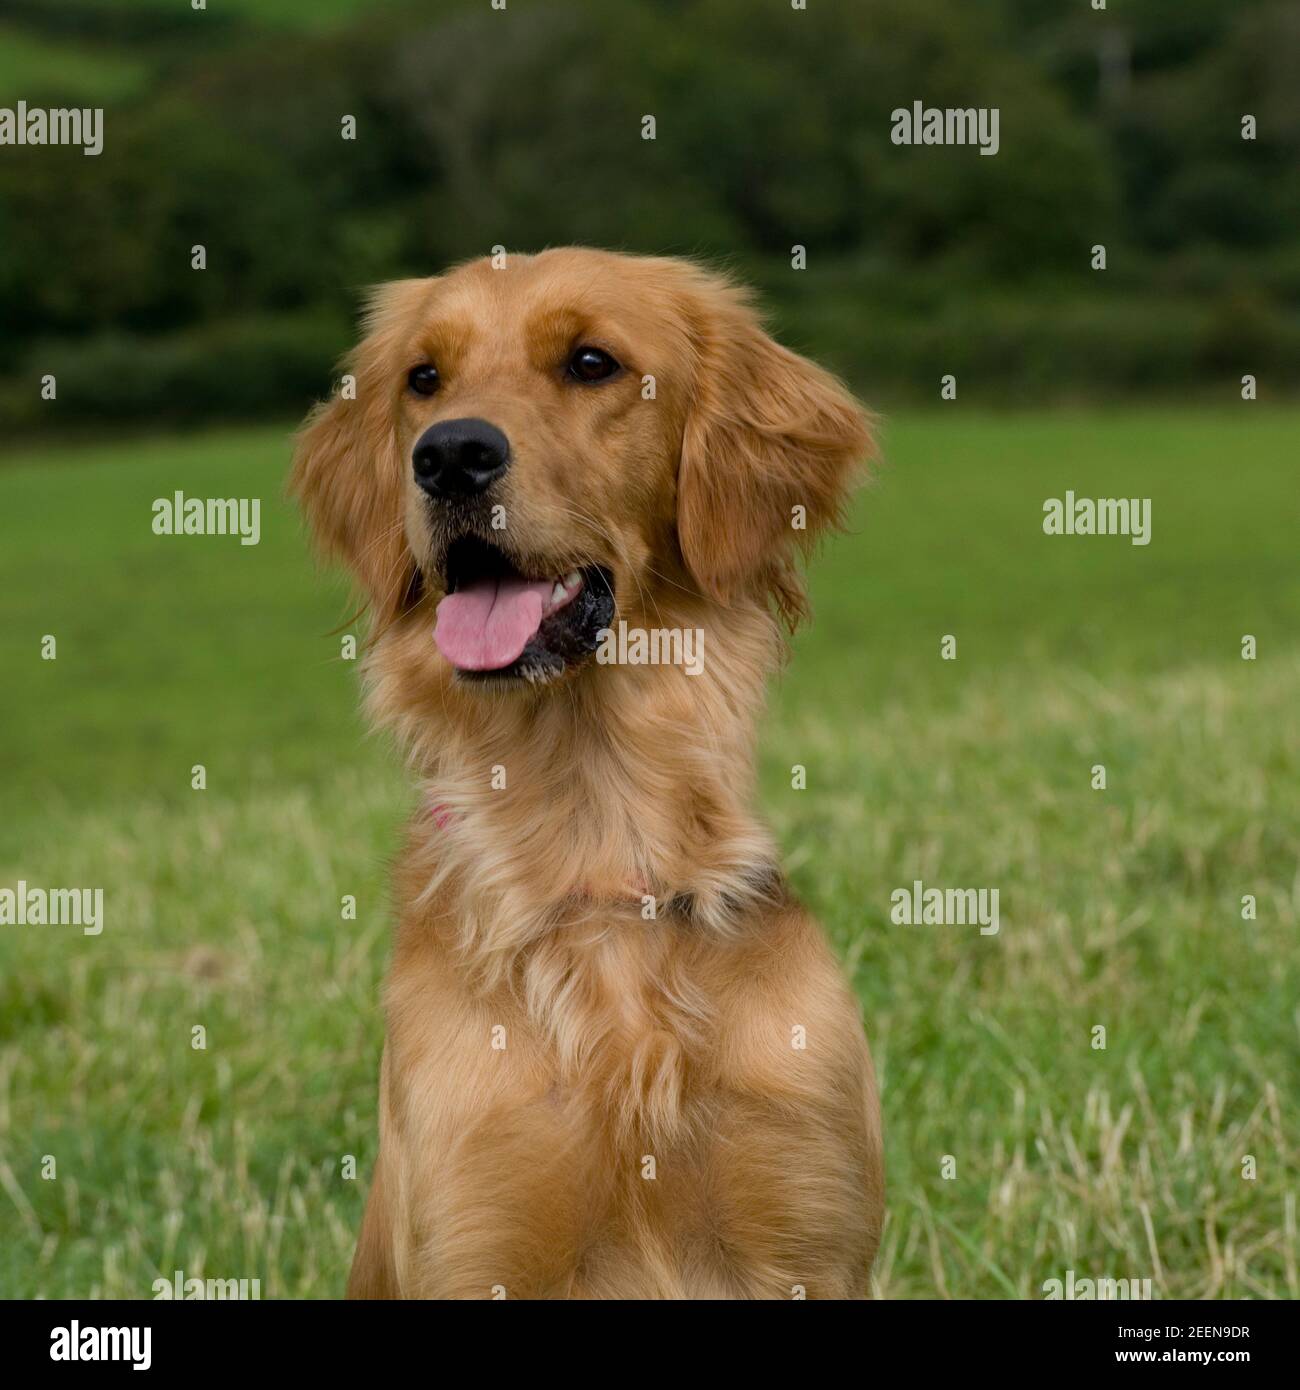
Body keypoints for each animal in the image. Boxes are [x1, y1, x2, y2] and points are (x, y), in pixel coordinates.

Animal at [293, 244, 884, 1295]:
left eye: (592, 363)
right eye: (423, 379)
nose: (448, 455)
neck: (595, 844)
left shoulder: (804, 1228)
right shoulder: (481, 1231)